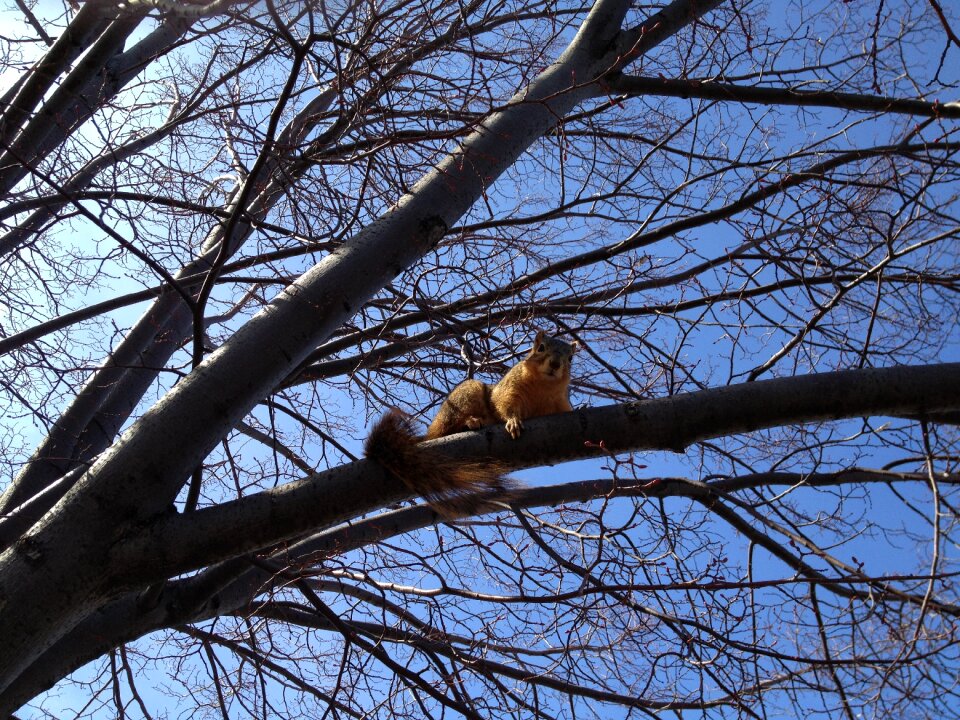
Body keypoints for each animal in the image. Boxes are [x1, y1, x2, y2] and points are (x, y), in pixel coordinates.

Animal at [368, 332, 576, 516]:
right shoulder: (509, 389)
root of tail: (431, 432)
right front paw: (513, 421)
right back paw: (472, 422)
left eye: (571, 358)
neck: (543, 385)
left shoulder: (560, 403)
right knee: (451, 426)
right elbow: (504, 404)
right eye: (541, 348)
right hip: (465, 397)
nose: (555, 364)